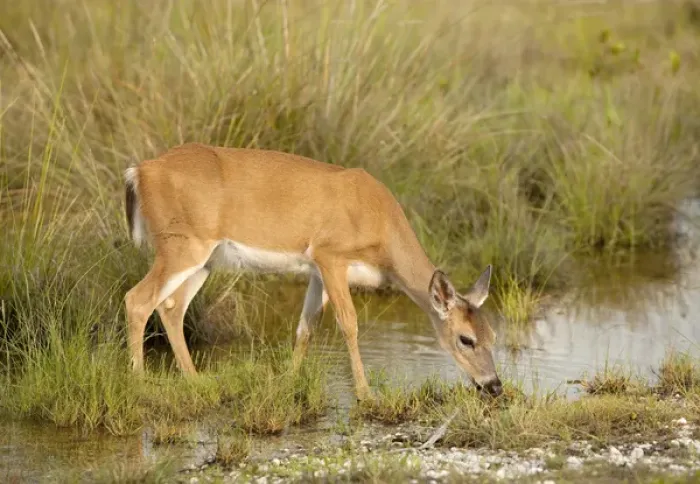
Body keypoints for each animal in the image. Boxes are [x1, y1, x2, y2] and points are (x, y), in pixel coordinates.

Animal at [123, 142, 502, 401]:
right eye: (465, 338)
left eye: (493, 336)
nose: (494, 385)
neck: (380, 224)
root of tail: (140, 171)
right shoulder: (330, 255)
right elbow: (349, 323)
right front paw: (365, 394)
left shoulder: (317, 272)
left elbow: (306, 327)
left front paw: (288, 382)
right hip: (181, 247)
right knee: (137, 299)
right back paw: (139, 382)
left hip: (204, 259)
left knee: (171, 307)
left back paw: (196, 379)